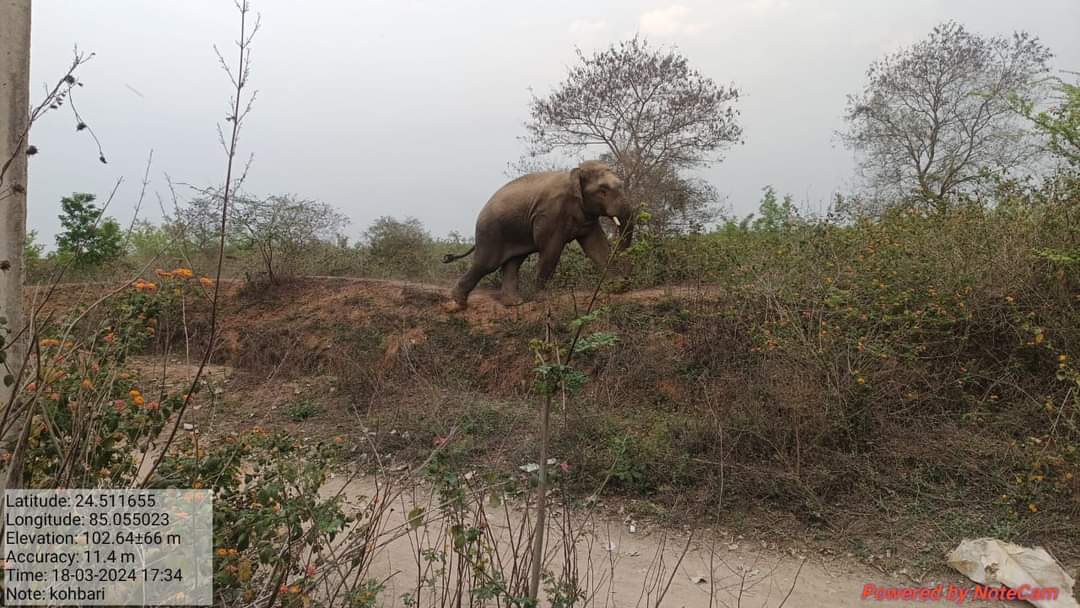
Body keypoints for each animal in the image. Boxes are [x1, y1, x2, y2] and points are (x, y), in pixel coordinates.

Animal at [442, 159, 635, 311]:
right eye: (603, 190)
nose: (627, 279)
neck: (574, 172)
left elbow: (596, 246)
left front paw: (620, 287)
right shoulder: (549, 213)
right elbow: (550, 249)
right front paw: (543, 298)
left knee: (513, 262)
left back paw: (514, 303)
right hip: (490, 231)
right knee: (486, 264)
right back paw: (459, 303)